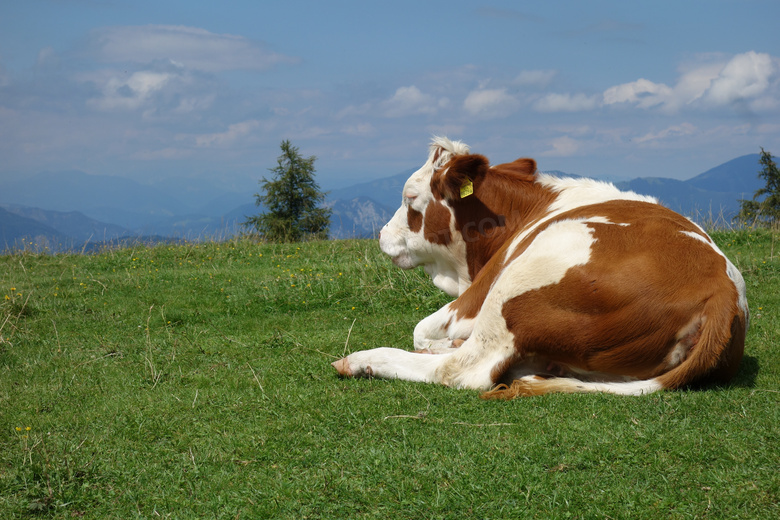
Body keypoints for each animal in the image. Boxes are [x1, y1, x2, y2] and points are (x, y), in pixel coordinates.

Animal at [330, 136, 748, 396]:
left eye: (410, 199)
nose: (381, 235)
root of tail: (721, 290)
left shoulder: (475, 295)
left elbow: (420, 330)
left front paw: (438, 343)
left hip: (518, 284)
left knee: (464, 370)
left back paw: (364, 360)